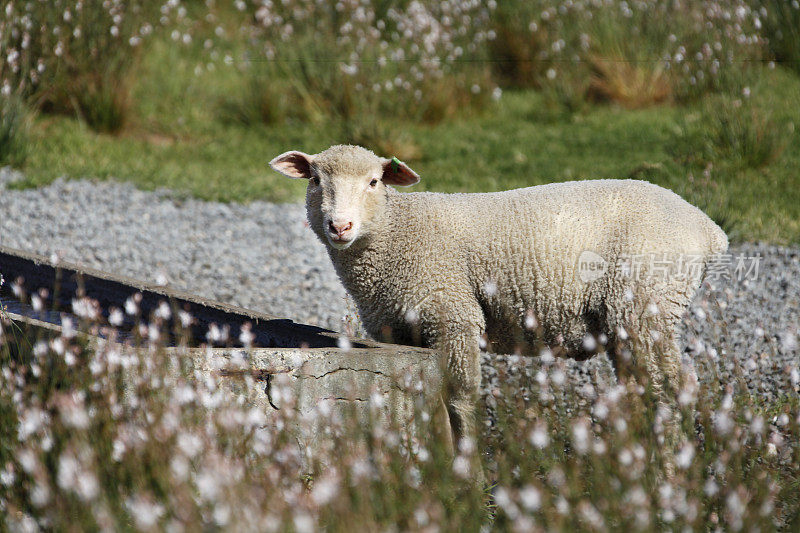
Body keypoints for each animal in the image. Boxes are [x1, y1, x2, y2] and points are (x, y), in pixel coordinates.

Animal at [268, 145, 724, 466]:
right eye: (315, 180)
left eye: (375, 182)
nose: (339, 226)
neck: (397, 234)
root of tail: (708, 229)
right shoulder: (400, 328)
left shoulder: (452, 314)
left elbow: (460, 399)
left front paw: (468, 475)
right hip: (630, 321)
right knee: (645, 389)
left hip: (648, 304)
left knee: (668, 391)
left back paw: (668, 473)